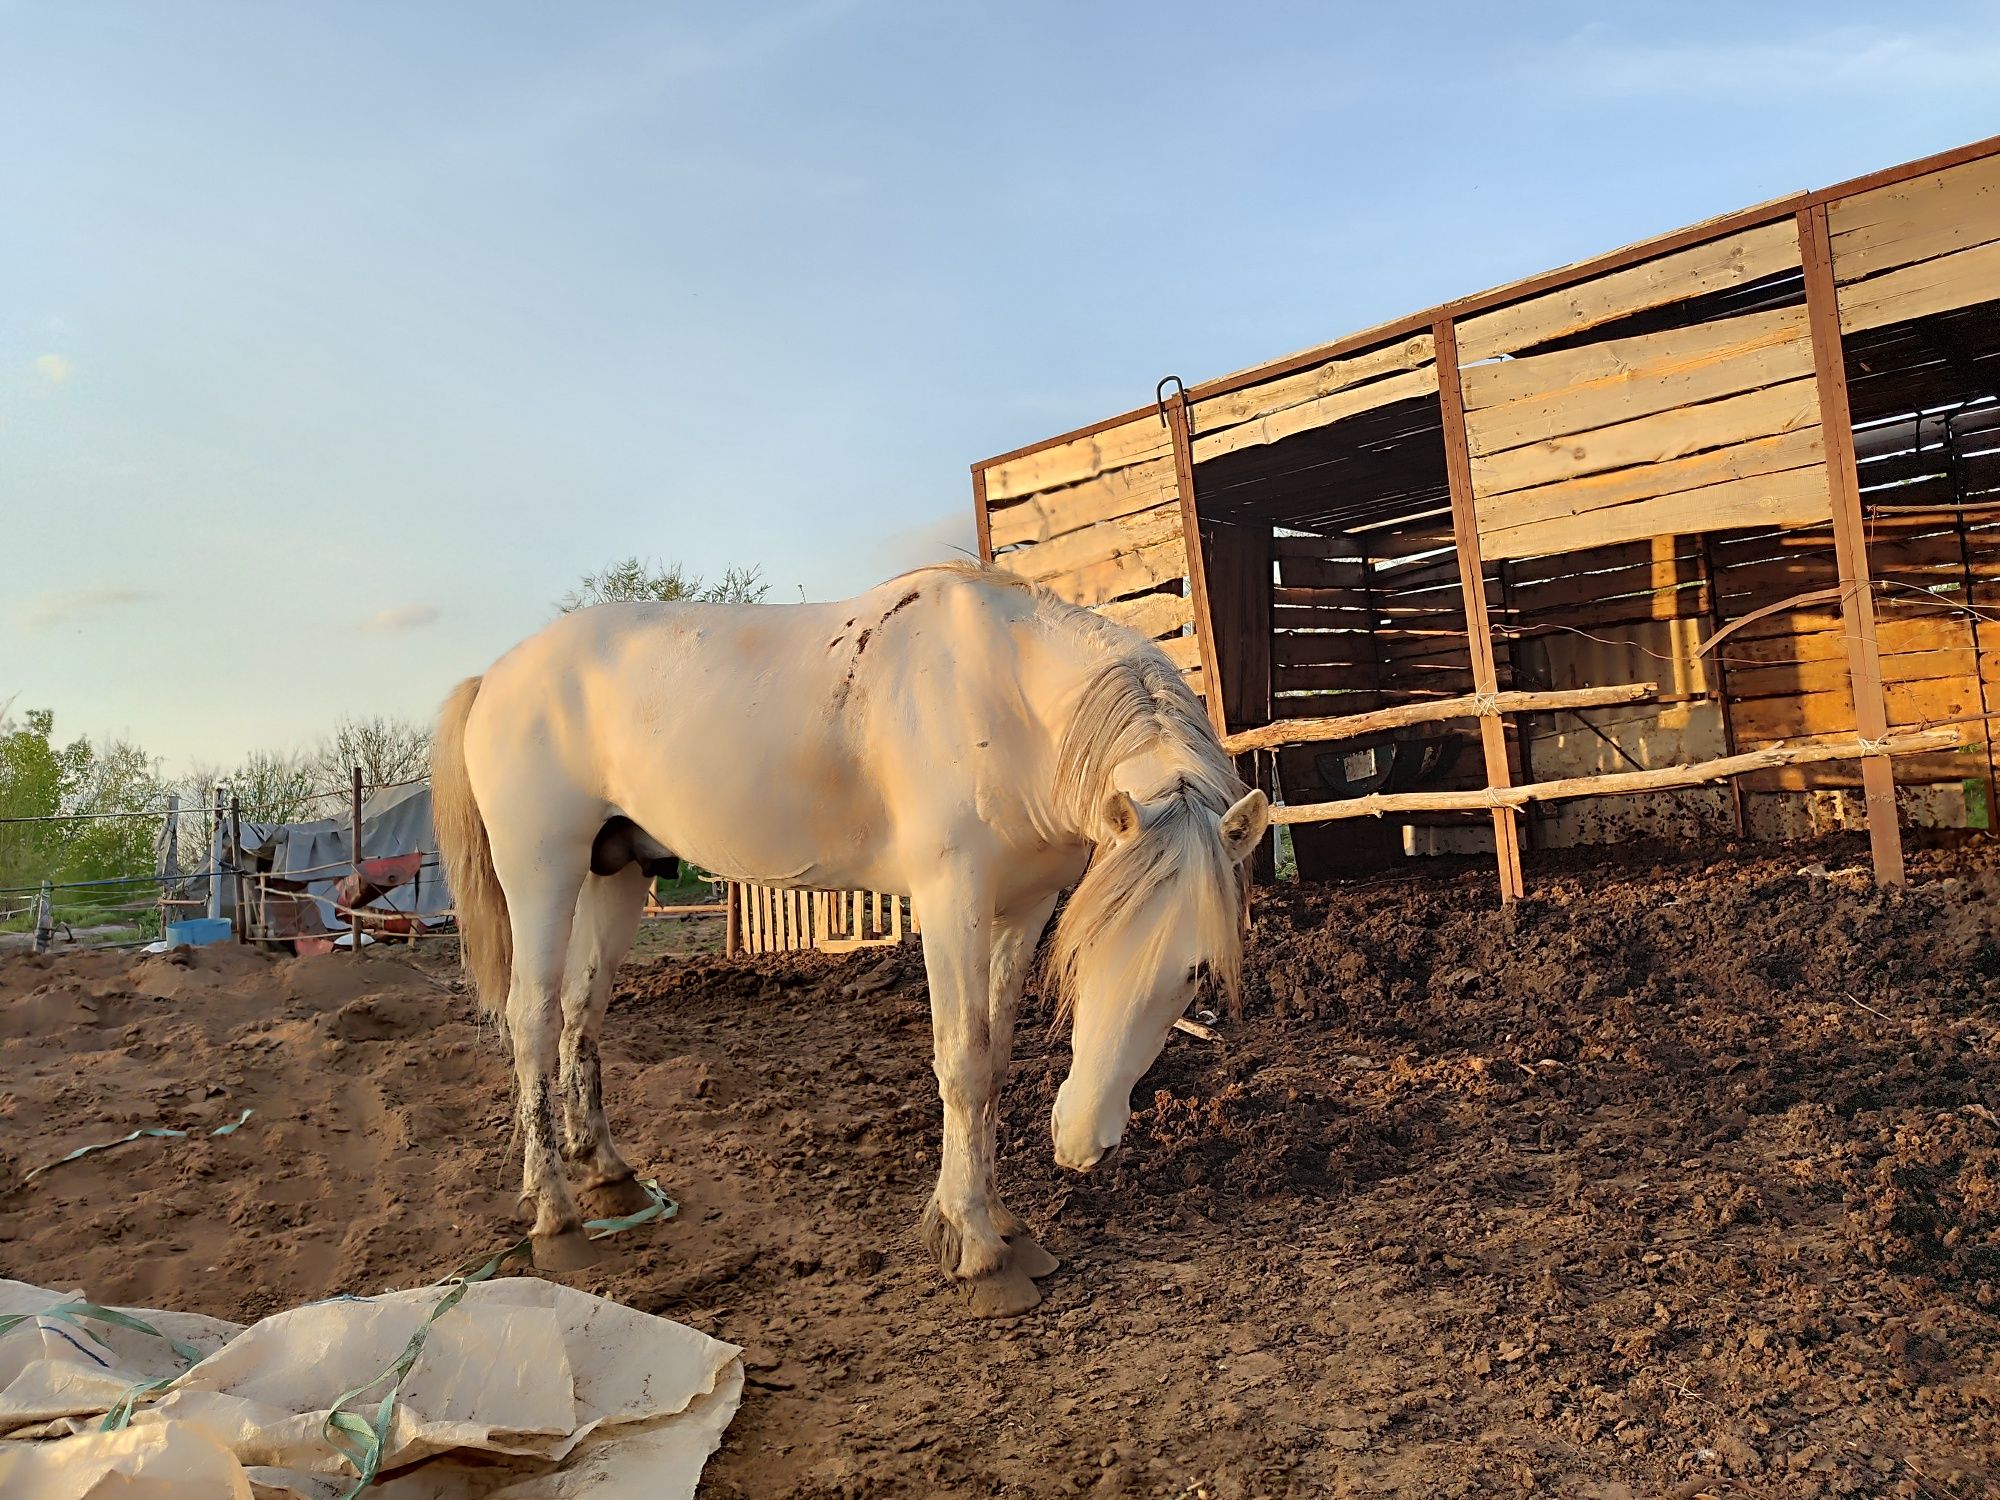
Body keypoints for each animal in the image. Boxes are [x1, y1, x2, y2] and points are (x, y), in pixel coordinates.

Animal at [436, 560, 1264, 1312]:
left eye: (1195, 972)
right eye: (1085, 957)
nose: (1084, 1141)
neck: (1010, 705)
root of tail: (494, 676)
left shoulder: (1023, 910)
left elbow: (995, 1061)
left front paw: (1002, 1225)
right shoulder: (952, 901)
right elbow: (963, 1063)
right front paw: (975, 1248)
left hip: (616, 874)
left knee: (582, 1013)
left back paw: (610, 1177)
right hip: (540, 872)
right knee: (533, 1022)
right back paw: (556, 1219)